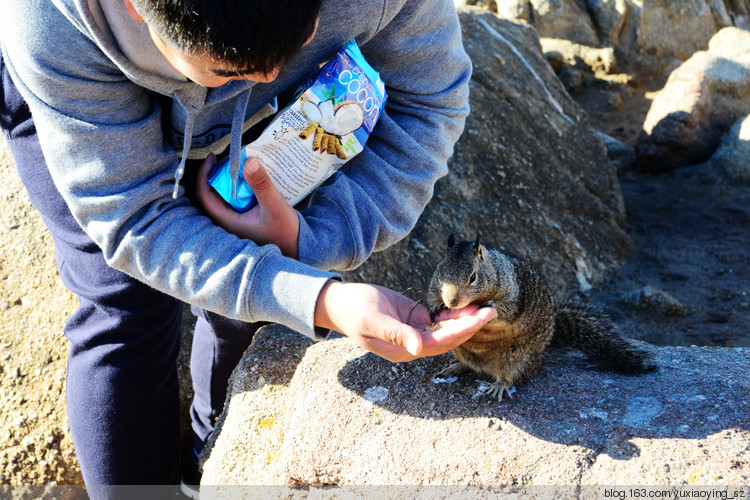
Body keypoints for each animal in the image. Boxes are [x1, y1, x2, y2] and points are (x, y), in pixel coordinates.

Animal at [428, 234, 656, 402]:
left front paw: (492, 306)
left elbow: (506, 310)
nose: (452, 302)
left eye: (473, 277)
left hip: (517, 357)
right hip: (463, 350)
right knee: (470, 365)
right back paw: (455, 367)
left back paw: (499, 386)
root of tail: (541, 356)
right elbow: (432, 294)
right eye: (440, 272)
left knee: (512, 375)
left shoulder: (514, 294)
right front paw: (436, 305)